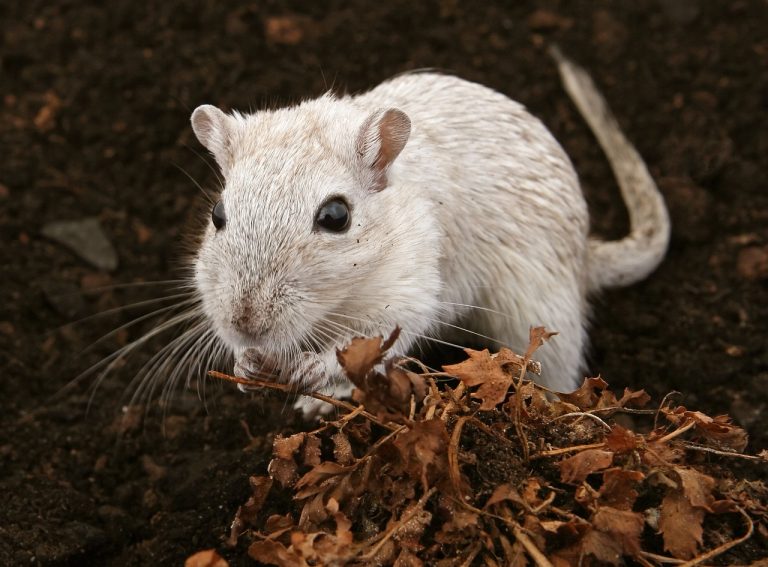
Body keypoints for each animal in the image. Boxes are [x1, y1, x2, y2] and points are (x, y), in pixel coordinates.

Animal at [190, 49, 670, 415]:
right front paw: (246, 366)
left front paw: (312, 371)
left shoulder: (407, 294)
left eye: (336, 216)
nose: (245, 325)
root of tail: (588, 257)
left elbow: (373, 340)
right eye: (217, 214)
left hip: (544, 319)